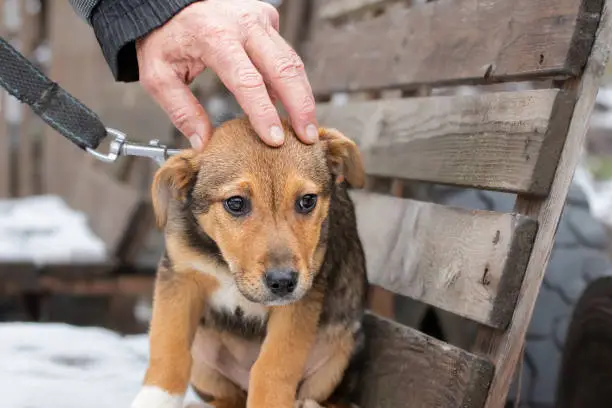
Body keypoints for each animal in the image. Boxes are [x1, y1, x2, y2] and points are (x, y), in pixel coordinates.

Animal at [131, 117, 366, 408]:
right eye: (235, 203)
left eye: (307, 201)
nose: (283, 282)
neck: (227, 265)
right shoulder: (180, 277)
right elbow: (169, 350)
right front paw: (153, 399)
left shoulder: (300, 300)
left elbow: (272, 368)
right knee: (227, 398)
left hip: (339, 354)